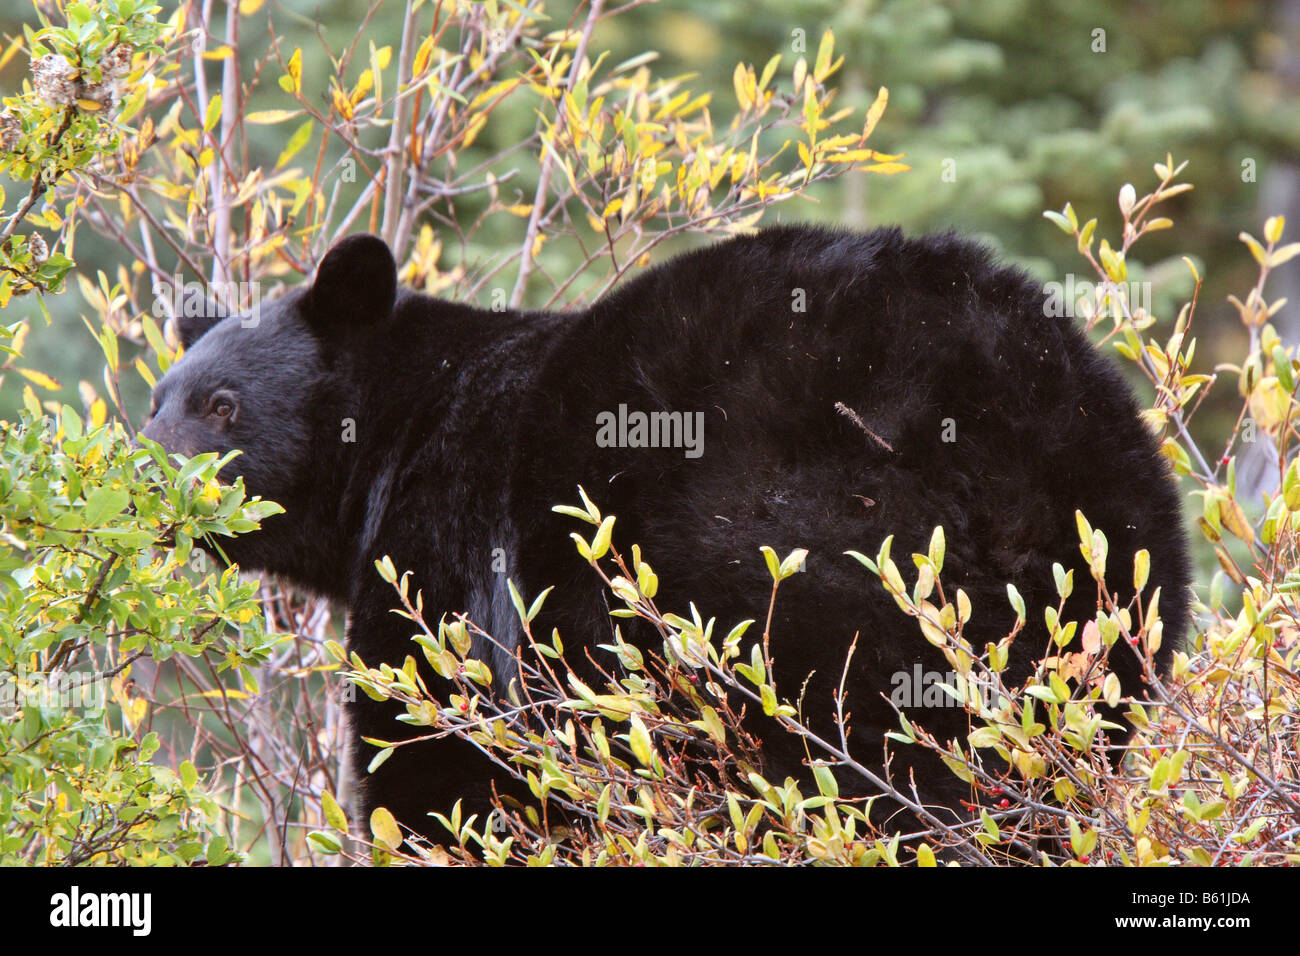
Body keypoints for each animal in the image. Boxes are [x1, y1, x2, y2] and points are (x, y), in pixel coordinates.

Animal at [139, 227, 1190, 848]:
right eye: (155, 399)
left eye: (223, 406)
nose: (140, 479)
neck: (405, 416)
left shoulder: (446, 541)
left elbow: (439, 749)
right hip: (1113, 593)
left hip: (788, 563)